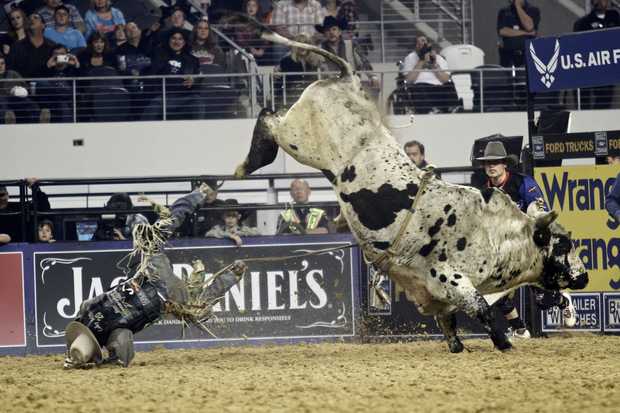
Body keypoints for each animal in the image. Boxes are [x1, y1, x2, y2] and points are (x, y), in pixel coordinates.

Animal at [231, 16, 588, 350]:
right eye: (563, 245)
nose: (584, 276)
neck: (493, 234)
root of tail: (348, 79)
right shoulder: (451, 279)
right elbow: (484, 310)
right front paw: (504, 343)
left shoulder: (437, 296)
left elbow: (454, 325)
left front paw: (461, 345)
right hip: (300, 141)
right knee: (269, 118)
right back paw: (247, 163)